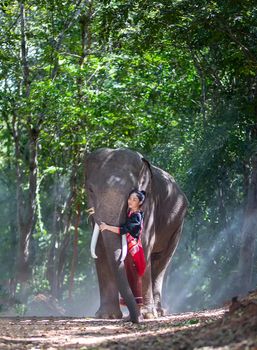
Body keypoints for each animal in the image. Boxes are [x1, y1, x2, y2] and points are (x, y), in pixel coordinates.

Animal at [85, 147, 187, 322]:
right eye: (90, 190)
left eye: (131, 192)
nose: (134, 319)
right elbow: (100, 250)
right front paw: (106, 316)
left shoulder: (149, 207)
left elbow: (144, 246)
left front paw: (147, 315)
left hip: (177, 224)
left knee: (162, 261)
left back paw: (157, 312)